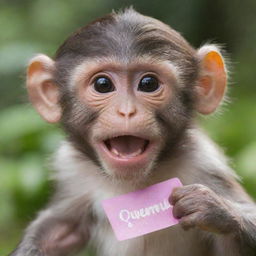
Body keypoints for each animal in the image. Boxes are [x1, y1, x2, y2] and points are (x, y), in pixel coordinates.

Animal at [10, 7, 256, 256]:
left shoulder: (206, 161)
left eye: (148, 83)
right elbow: (56, 229)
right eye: (102, 84)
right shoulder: (70, 170)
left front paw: (216, 210)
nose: (127, 111)